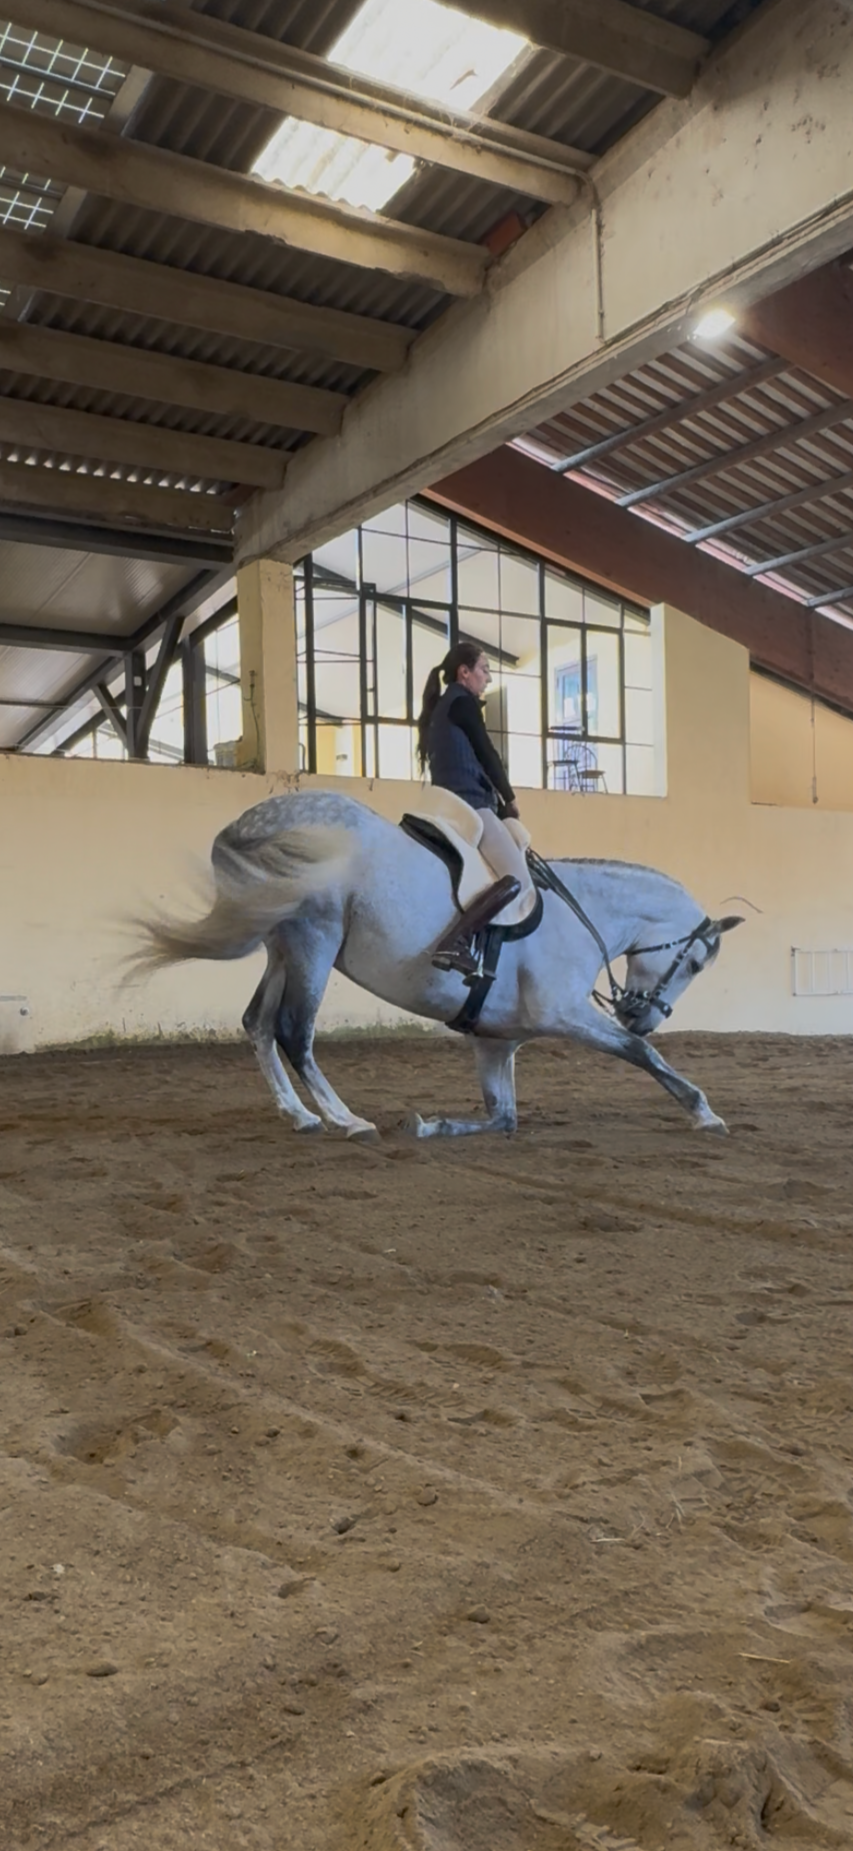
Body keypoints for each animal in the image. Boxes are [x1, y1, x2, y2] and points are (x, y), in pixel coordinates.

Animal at [134, 790, 743, 1141]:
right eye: (694, 965)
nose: (643, 1015)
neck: (582, 915)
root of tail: (249, 824)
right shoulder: (564, 1014)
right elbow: (640, 1054)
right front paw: (702, 1110)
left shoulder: (497, 1042)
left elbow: (503, 1117)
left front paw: (432, 1123)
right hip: (314, 937)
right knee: (292, 1029)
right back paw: (345, 1120)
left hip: (282, 942)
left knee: (258, 1023)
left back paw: (300, 1115)